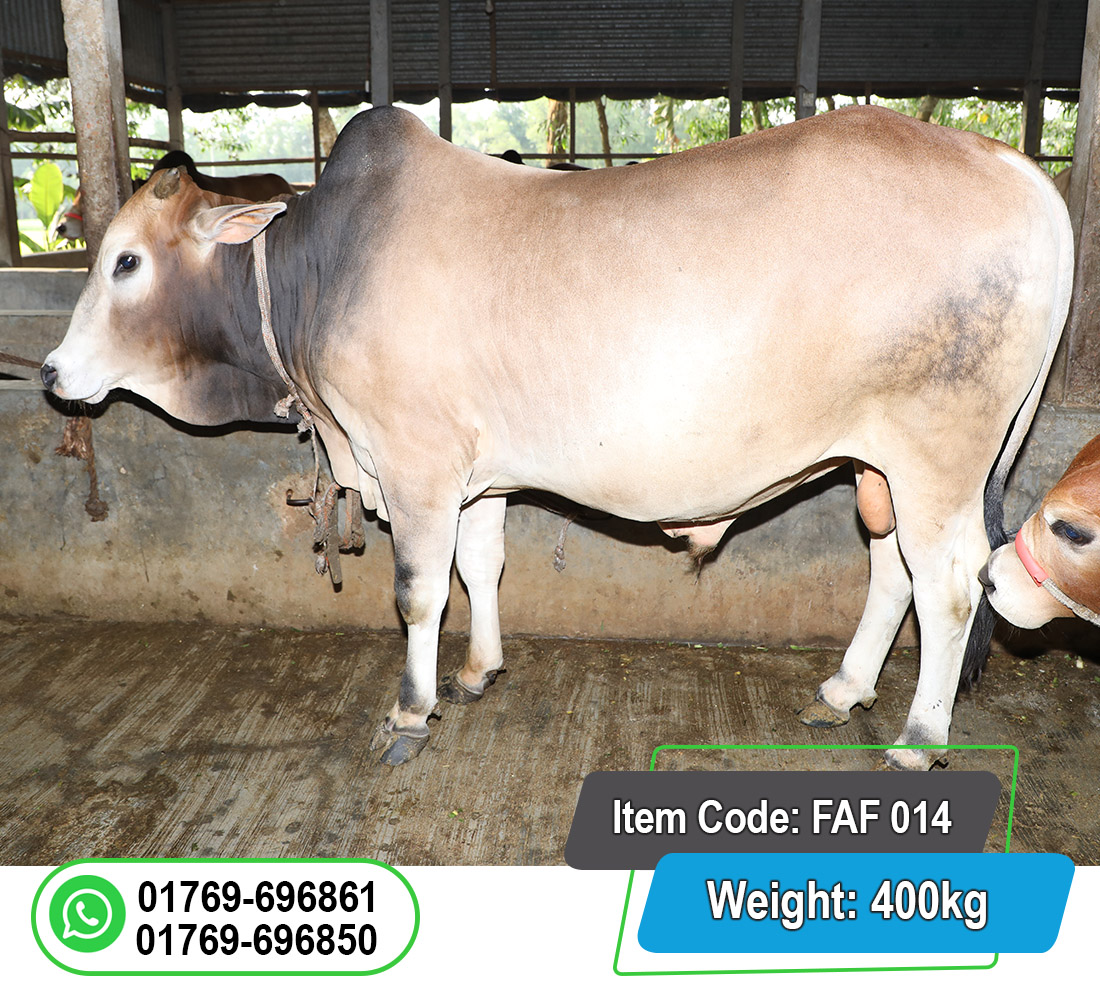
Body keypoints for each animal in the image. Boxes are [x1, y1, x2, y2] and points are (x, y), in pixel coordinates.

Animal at [41, 104, 1073, 770]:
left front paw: (409, 712)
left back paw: (917, 741)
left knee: (948, 586)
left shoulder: (414, 466)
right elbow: (480, 567)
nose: (50, 372)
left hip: (938, 456)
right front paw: (476, 671)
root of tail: (1021, 173)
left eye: (125, 262)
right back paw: (844, 690)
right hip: (882, 461)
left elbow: (418, 593)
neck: (319, 271)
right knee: (894, 569)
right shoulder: (477, 477)